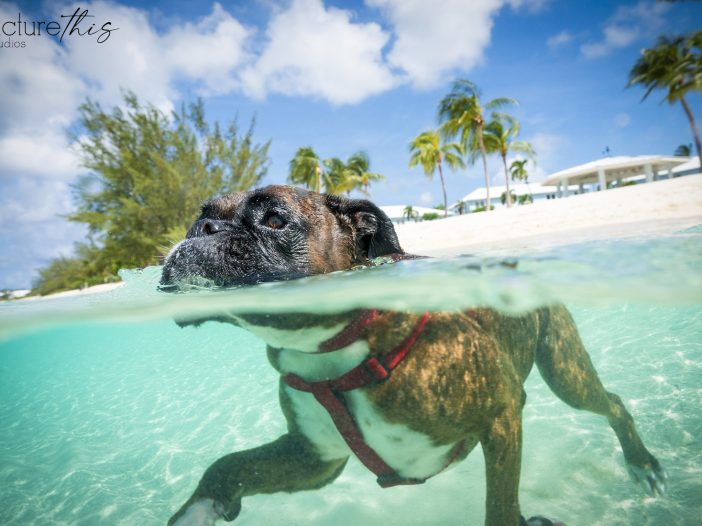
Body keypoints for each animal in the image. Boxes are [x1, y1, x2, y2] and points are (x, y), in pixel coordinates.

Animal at [162, 186, 668, 526]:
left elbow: (501, 508)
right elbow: (227, 466)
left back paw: (643, 465)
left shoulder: (503, 416)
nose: (203, 229)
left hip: (564, 370)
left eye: (273, 220)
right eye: (201, 217)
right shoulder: (313, 458)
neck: (334, 350)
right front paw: (195, 512)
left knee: (612, 404)